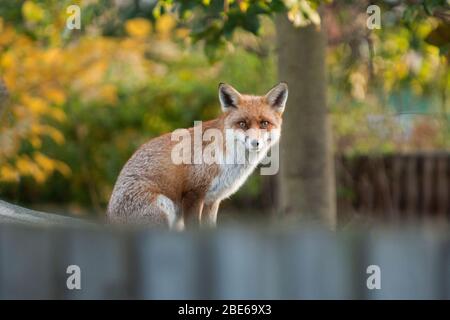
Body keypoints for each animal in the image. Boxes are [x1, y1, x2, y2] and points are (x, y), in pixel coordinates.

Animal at [107, 81, 286, 229]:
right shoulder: (193, 194)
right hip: (165, 207)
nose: (255, 143)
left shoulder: (212, 200)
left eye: (264, 123)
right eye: (242, 124)